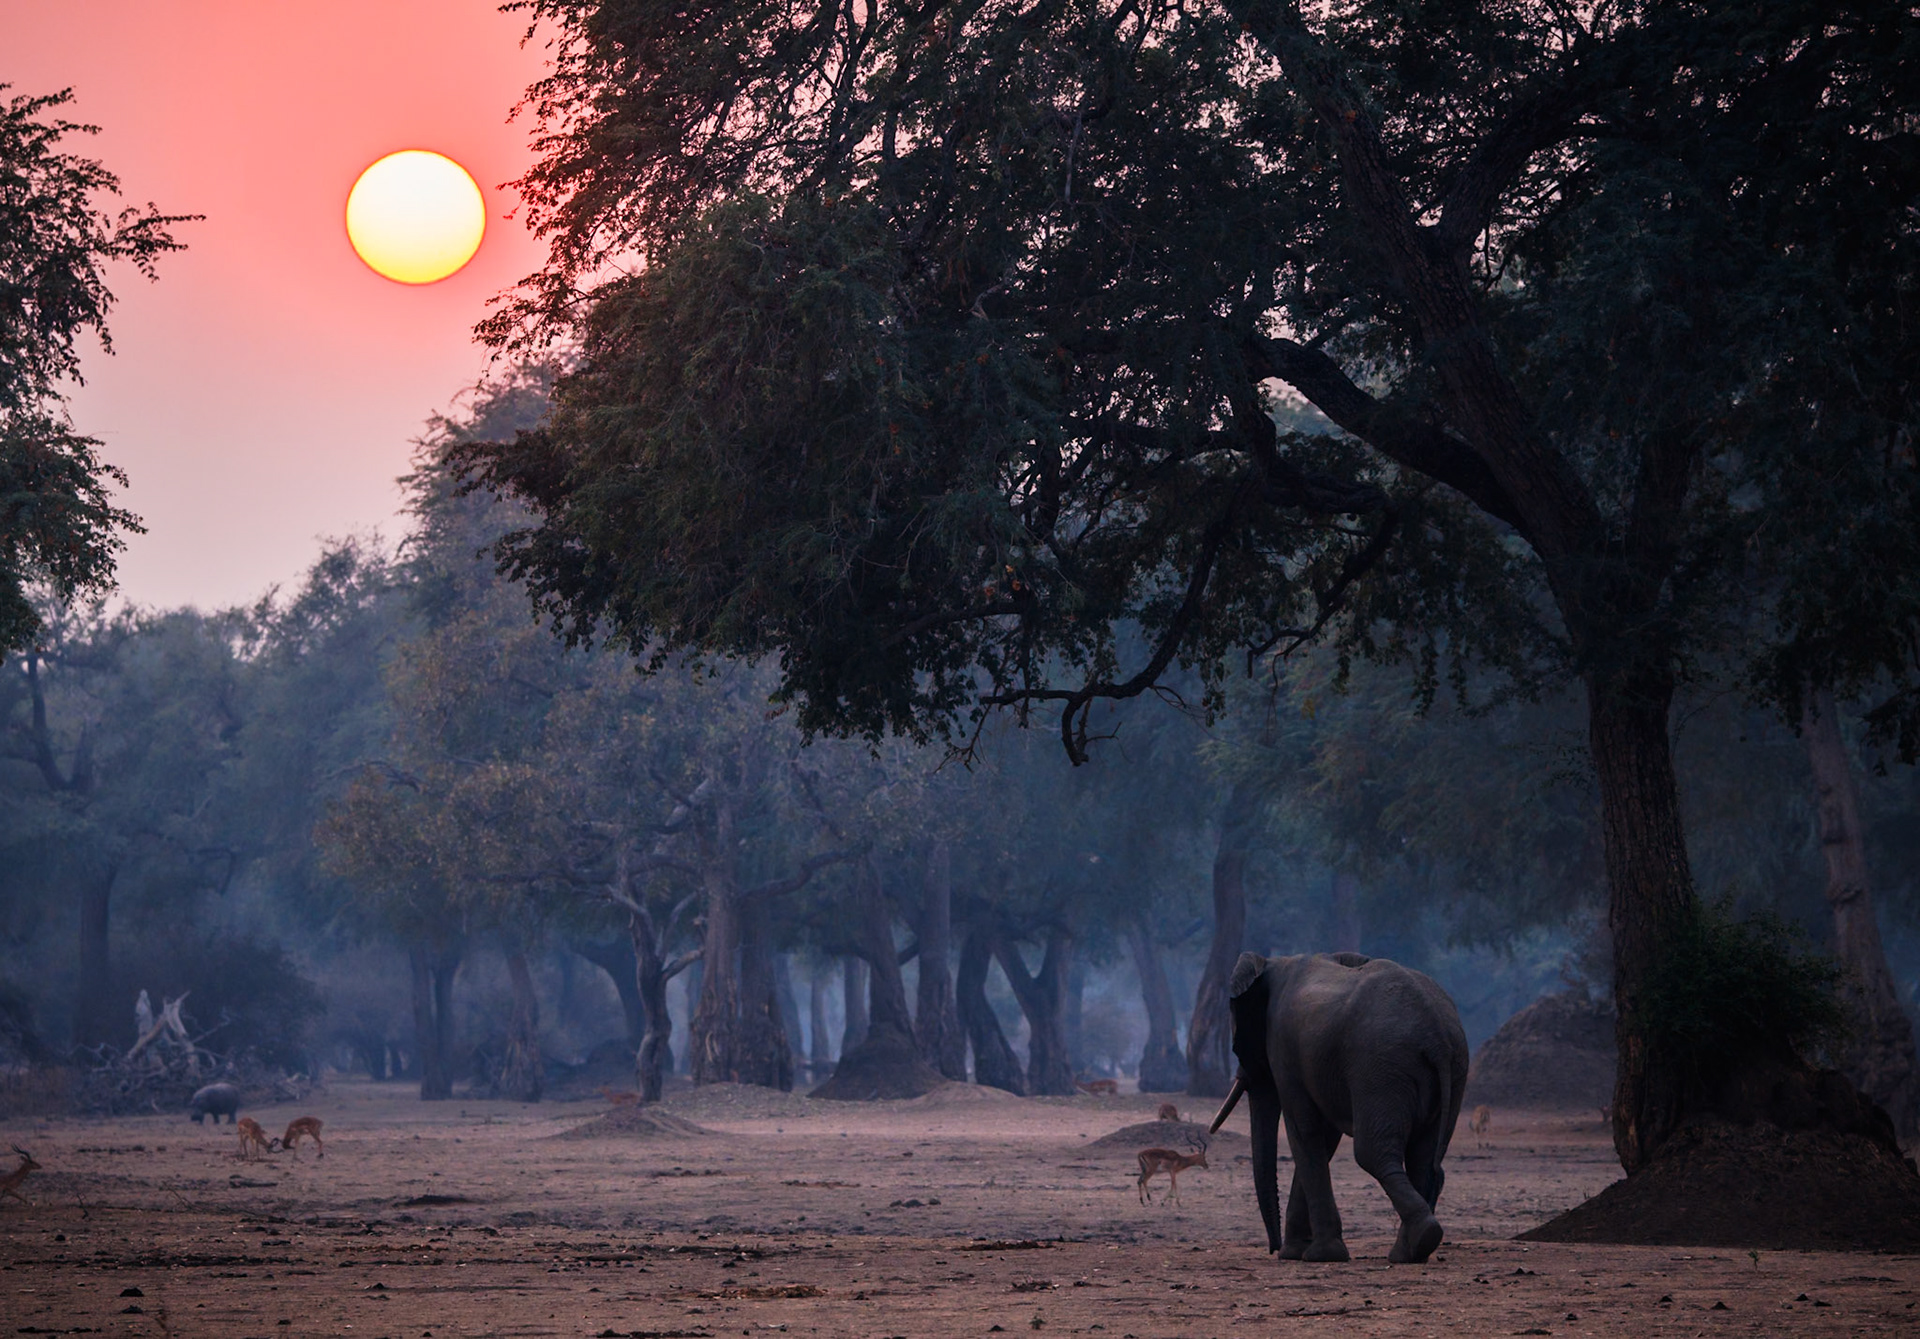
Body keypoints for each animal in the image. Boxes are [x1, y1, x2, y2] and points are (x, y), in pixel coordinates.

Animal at [1210, 951, 1468, 1264]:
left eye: (1238, 1044)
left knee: (1372, 1153)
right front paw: (1296, 1253)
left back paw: (1417, 1242)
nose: (1273, 1248)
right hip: (1452, 1070)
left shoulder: (1283, 1046)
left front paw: (1317, 1255)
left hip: (1380, 1068)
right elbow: (1324, 1137)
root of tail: (1436, 1036)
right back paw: (1411, 1251)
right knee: (1423, 1158)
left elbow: (1305, 1130)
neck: (1272, 963)